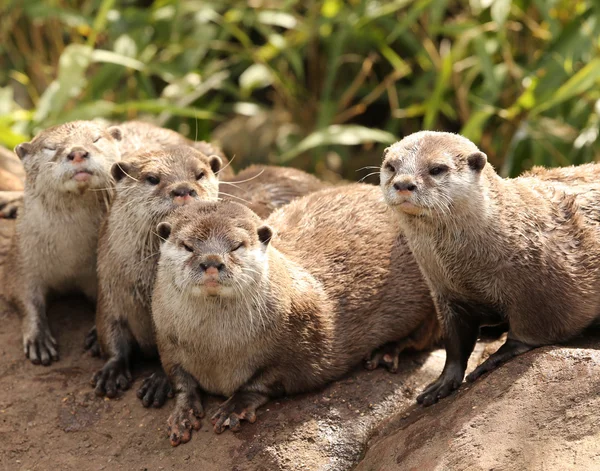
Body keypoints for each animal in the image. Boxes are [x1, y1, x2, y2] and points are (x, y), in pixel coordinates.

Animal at [1, 121, 124, 366]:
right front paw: (38, 339)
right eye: (50, 147)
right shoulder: (21, 259)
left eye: (96, 139)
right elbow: (22, 295)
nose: (77, 152)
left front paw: (98, 335)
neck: (70, 255)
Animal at [152, 184, 438, 446]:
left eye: (236, 245)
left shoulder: (302, 347)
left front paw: (235, 407)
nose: (211, 261)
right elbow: (180, 378)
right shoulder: (165, 339)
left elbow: (267, 379)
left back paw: (387, 352)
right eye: (188, 246)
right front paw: (182, 413)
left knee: (424, 334)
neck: (216, 350)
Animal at [380, 131, 600, 408]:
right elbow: (455, 343)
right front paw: (442, 383)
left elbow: (531, 331)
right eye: (391, 166)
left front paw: (495, 358)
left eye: (437, 168)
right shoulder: (446, 295)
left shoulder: (547, 289)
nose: (403, 184)